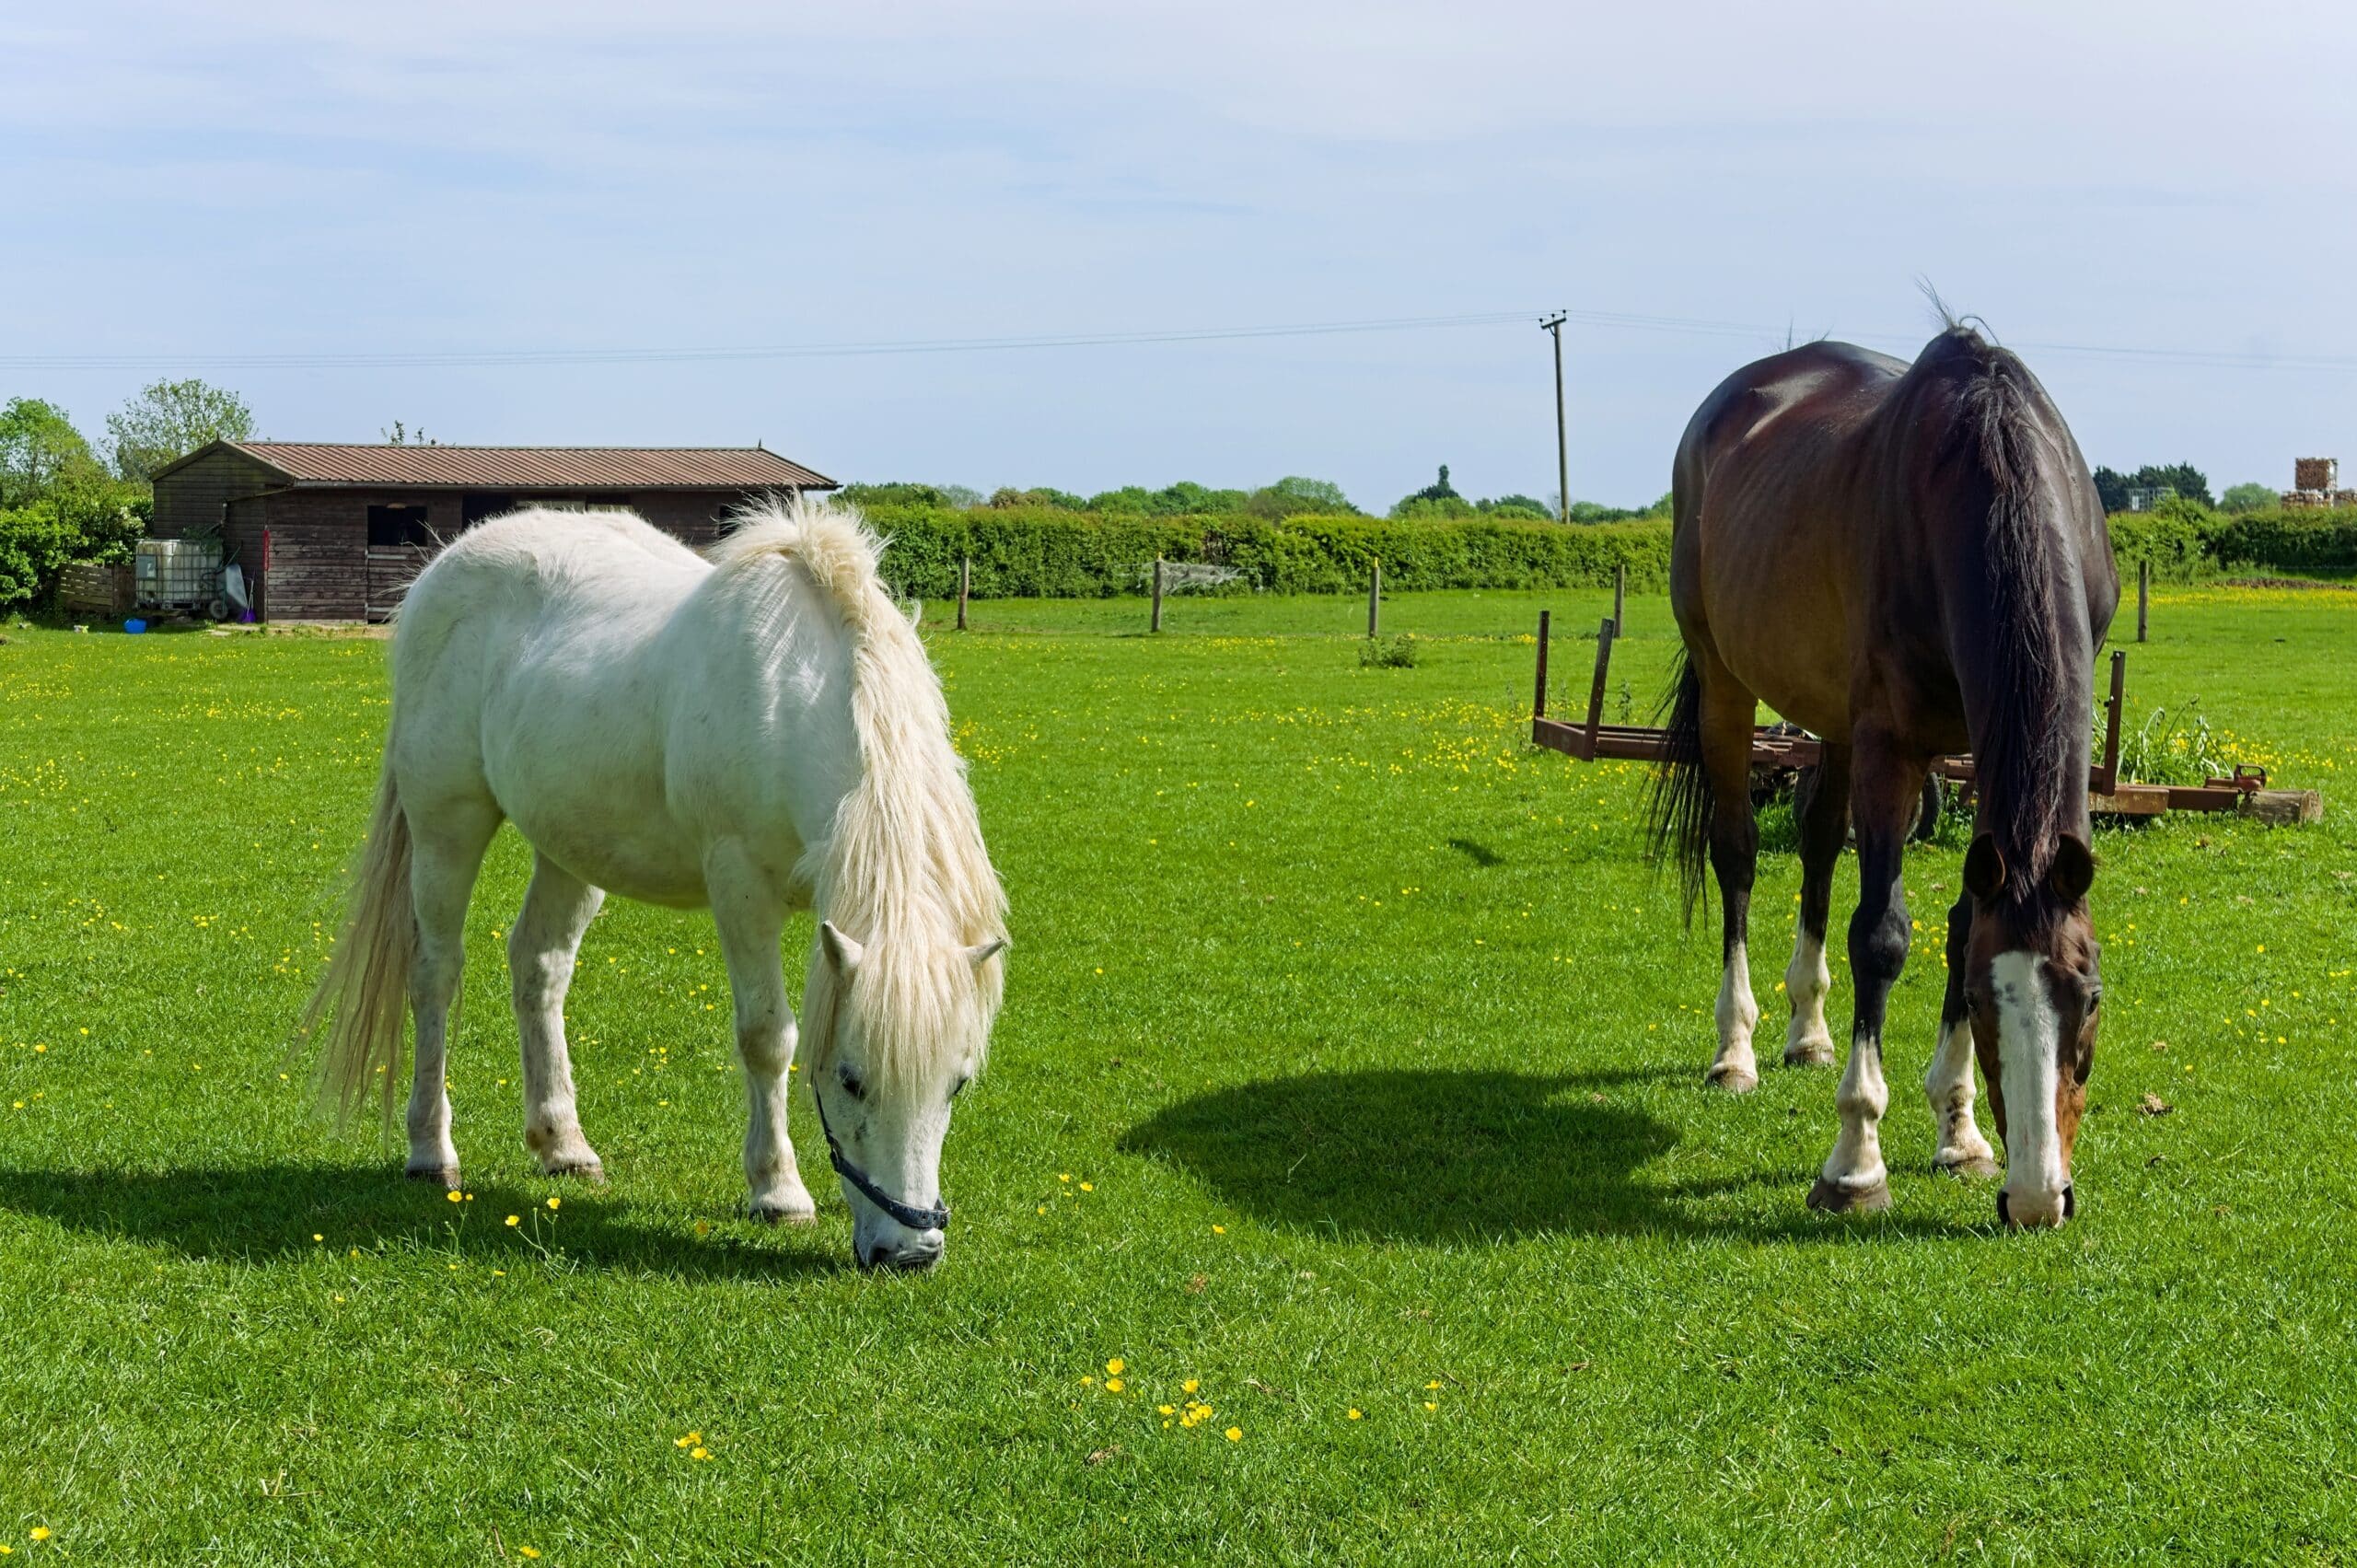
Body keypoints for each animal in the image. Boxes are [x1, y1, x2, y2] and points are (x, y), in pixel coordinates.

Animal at [304, 494, 1004, 1263]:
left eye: (957, 1083)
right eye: (851, 1078)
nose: (911, 1252)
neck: (797, 693)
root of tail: (442, 568)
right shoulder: (740, 885)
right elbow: (769, 1037)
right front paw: (778, 1191)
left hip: (569, 846)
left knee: (538, 966)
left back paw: (563, 1144)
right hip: (445, 824)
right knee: (434, 973)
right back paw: (431, 1150)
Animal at [1659, 320, 2121, 1225]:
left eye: (2088, 1000)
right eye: (1980, 1003)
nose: (2037, 1199)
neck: (1985, 478)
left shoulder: (1966, 749)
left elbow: (1958, 920)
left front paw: (1960, 1131)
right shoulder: (1890, 744)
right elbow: (1881, 934)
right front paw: (1856, 1161)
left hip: (1835, 725)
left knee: (1816, 846)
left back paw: (1808, 1031)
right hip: (1727, 684)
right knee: (1736, 854)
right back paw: (1737, 1049)